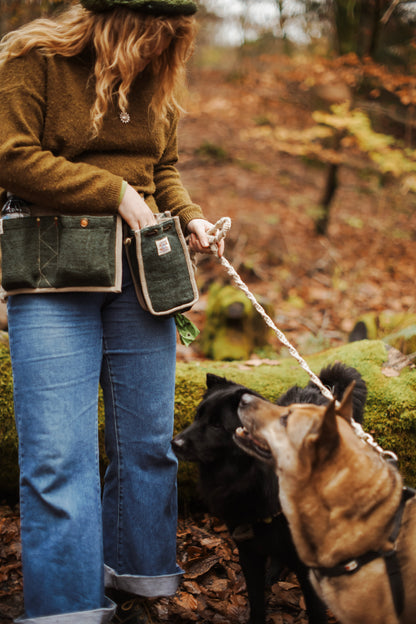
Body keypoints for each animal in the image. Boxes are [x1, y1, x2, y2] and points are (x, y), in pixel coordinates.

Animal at [172, 364, 368, 620]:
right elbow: (256, 601)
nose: (174, 443)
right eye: (197, 416)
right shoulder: (248, 552)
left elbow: (315, 610)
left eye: (216, 425)